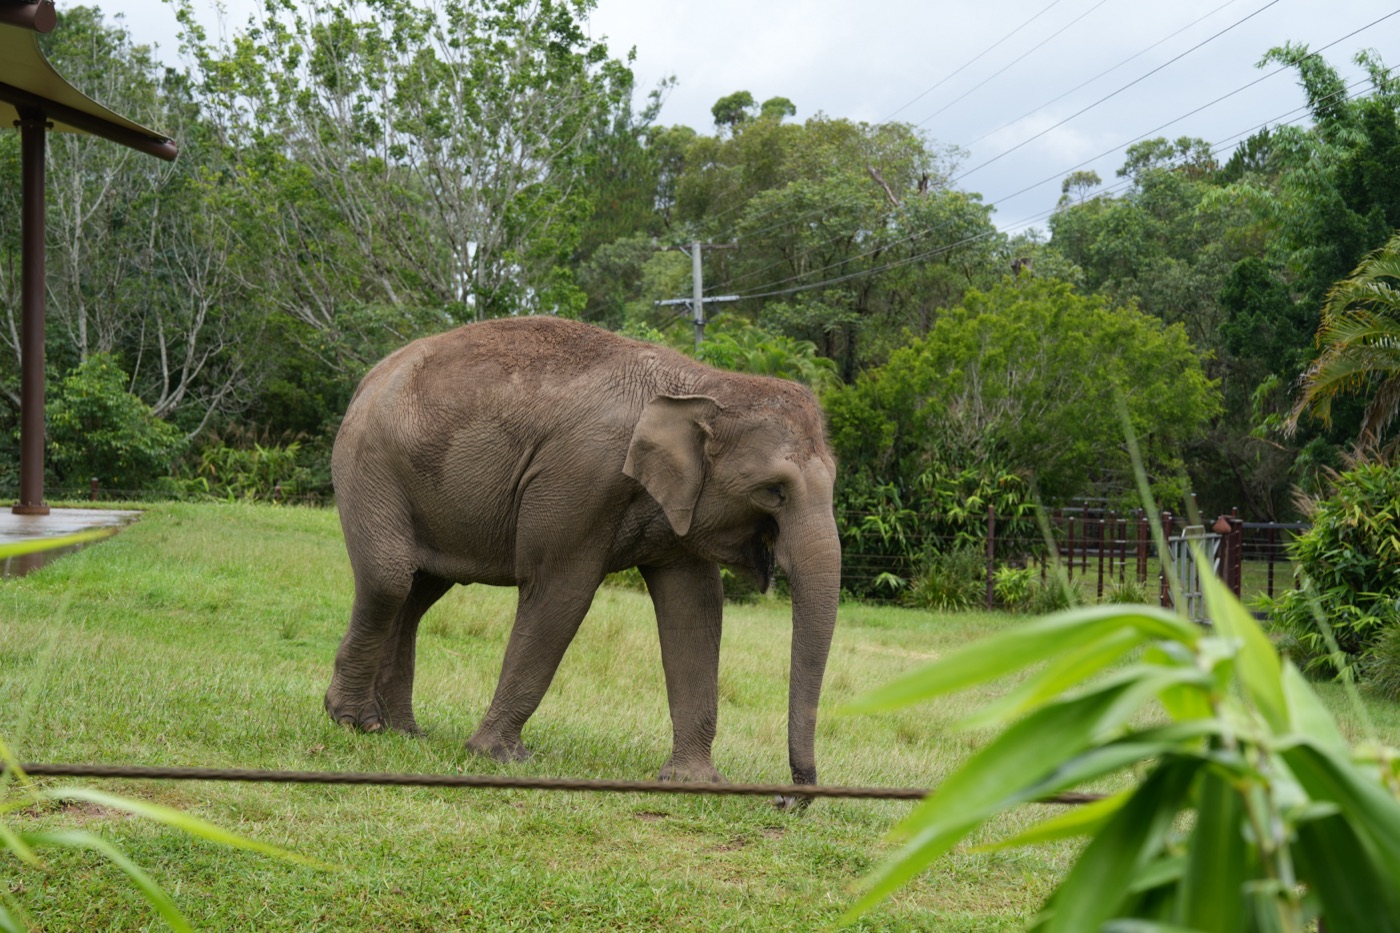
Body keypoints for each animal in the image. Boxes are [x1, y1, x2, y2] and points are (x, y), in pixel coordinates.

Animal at [324, 316, 840, 791]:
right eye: (773, 491)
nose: (792, 797)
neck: (704, 382)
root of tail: (371, 377)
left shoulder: (677, 504)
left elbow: (694, 610)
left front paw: (693, 781)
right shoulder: (581, 475)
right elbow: (561, 593)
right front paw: (498, 757)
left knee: (417, 592)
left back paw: (402, 732)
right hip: (369, 464)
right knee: (390, 579)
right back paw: (352, 720)